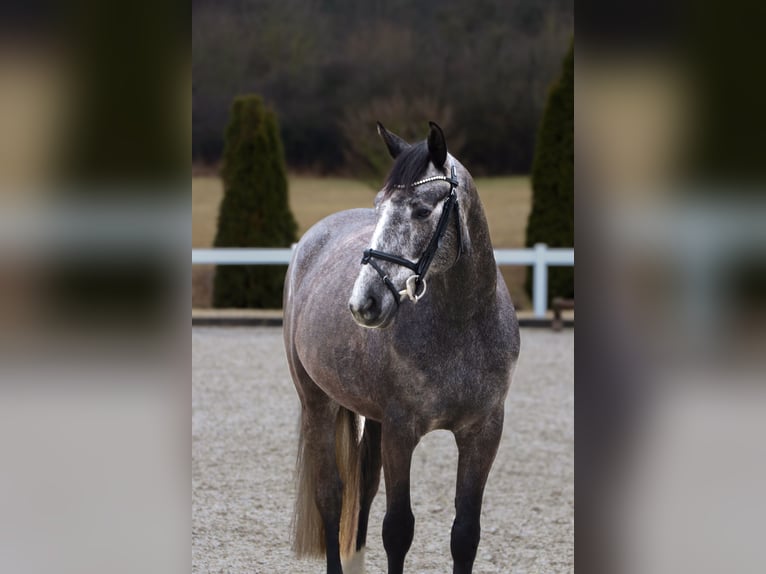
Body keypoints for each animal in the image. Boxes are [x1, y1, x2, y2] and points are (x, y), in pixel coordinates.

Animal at [284, 122, 524, 574]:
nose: (364, 302)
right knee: (332, 495)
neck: (462, 323)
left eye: (422, 210)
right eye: (379, 207)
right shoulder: (401, 430)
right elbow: (398, 529)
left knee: (362, 493)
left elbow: (465, 534)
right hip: (317, 403)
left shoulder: (484, 432)